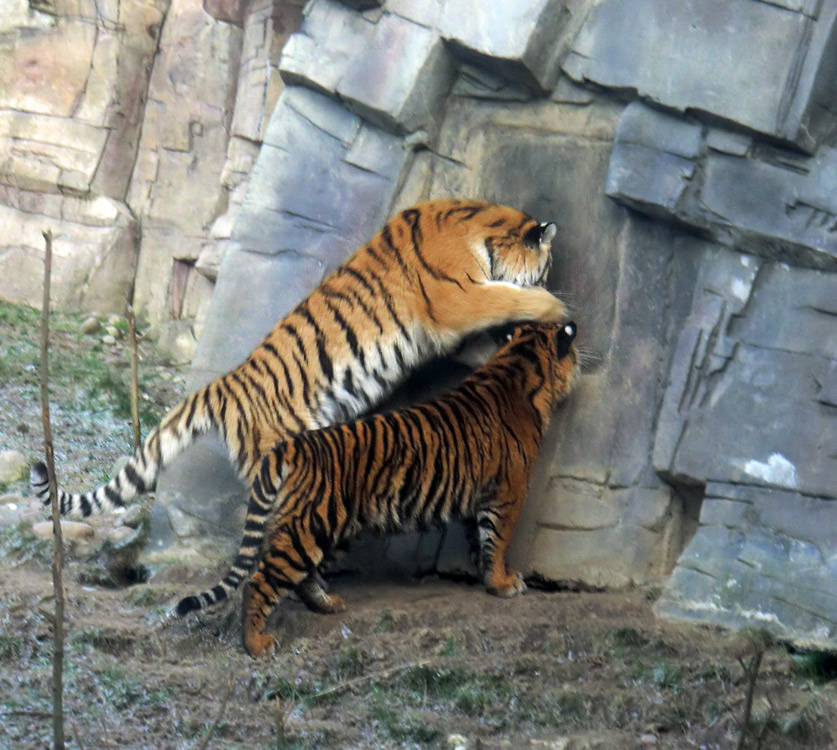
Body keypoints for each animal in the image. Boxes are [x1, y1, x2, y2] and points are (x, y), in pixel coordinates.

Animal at [177, 320, 580, 660]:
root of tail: (291, 446)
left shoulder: (480, 497)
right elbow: (498, 541)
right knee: (259, 582)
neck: (518, 362)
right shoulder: (509, 492)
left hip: (326, 528)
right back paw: (256, 644)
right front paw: (505, 582)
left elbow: (480, 540)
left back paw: (326, 604)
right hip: (308, 527)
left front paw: (487, 578)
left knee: (302, 577)